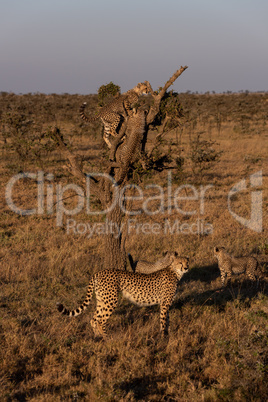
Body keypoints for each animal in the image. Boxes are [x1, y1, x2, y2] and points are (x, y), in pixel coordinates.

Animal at [57, 256, 189, 338]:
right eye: (180, 263)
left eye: (187, 262)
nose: (186, 267)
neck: (175, 272)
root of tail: (99, 272)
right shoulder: (165, 303)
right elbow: (163, 320)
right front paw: (164, 337)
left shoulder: (166, 303)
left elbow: (167, 319)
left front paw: (168, 334)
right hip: (111, 301)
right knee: (100, 320)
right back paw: (108, 338)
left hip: (102, 299)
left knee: (94, 318)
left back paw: (98, 337)